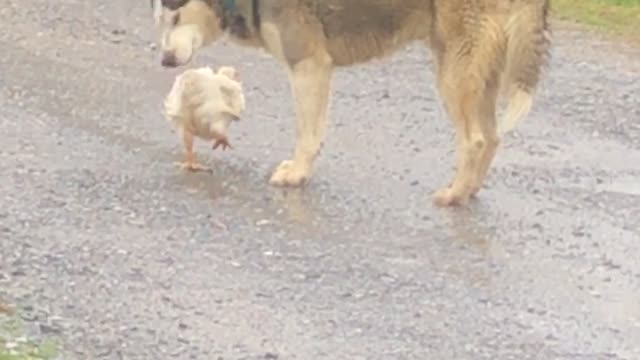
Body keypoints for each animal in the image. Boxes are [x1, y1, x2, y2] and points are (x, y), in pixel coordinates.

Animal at [149, 0, 552, 207]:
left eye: (176, 16)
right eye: (160, 21)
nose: (165, 61)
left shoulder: (309, 66)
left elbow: (308, 135)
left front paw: (297, 175)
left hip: (456, 71)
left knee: (476, 140)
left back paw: (453, 194)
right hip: (472, 70)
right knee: (492, 136)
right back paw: (468, 190)